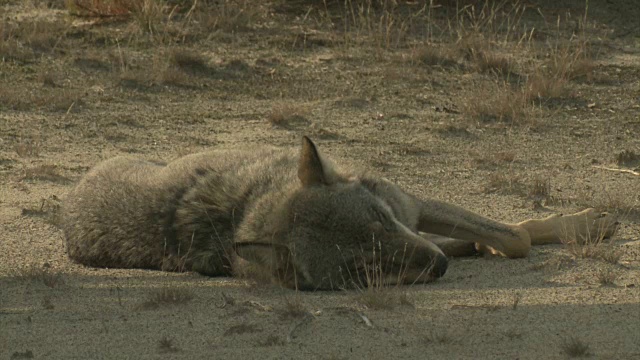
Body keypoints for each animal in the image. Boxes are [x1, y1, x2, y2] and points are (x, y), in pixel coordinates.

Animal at [62, 136, 616, 292]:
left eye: (381, 222)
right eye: (360, 271)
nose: (438, 269)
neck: (241, 211)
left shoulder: (410, 206)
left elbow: (516, 235)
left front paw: (587, 223)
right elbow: (514, 238)